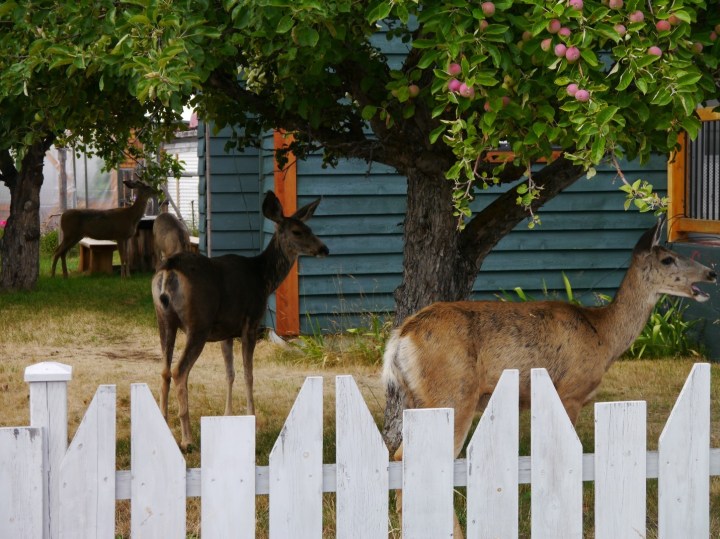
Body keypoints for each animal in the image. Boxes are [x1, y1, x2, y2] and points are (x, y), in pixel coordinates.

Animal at [152, 190, 329, 450]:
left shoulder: (226, 331)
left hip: (164, 320)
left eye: (310, 227)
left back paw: (164, 425)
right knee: (179, 371)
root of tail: (169, 269)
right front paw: (251, 417)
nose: (324, 249)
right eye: (297, 231)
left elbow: (230, 373)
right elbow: (248, 373)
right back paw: (187, 438)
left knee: (164, 370)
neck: (263, 278)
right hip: (198, 323)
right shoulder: (250, 323)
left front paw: (228, 415)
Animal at [382, 220, 716, 538]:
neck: (603, 335)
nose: (711, 273)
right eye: (668, 259)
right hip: (453, 393)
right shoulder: (570, 392)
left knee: (399, 457)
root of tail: (402, 337)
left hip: (418, 398)